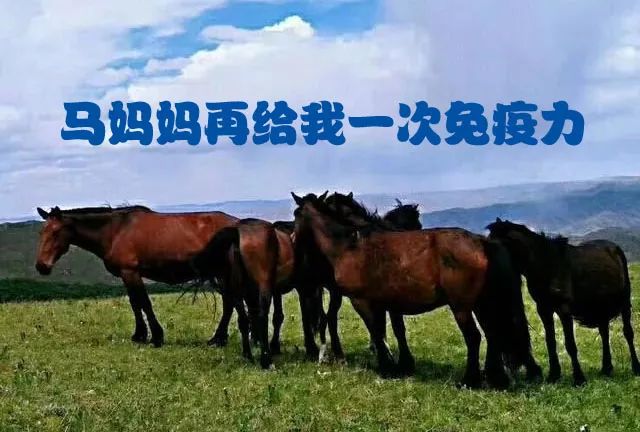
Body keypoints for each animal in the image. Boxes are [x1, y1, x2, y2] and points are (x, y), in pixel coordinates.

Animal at [35, 205, 238, 347]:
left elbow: (144, 303)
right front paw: (139, 335)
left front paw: (156, 336)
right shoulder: (127, 274)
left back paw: (218, 339)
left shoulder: (130, 271)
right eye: (42, 231)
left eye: (55, 232)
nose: (41, 266)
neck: (115, 230)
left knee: (229, 303)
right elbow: (135, 303)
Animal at [291, 193, 534, 388]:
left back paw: (469, 380)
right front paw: (398, 365)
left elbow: (377, 332)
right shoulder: (384, 303)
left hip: (462, 307)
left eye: (296, 214)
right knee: (493, 335)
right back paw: (496, 378)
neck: (350, 246)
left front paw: (387, 367)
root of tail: (481, 242)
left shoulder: (362, 301)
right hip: (481, 304)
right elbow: (388, 331)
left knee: (474, 337)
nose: (292, 239)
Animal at [486, 218, 640, 385]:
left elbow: (570, 344)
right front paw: (553, 375)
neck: (546, 265)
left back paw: (635, 368)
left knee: (628, 333)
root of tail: (614, 248)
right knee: (604, 333)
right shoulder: (544, 309)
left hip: (624, 301)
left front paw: (579, 378)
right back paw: (606, 369)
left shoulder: (564, 309)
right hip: (600, 307)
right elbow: (550, 341)